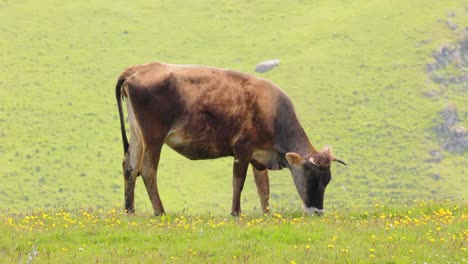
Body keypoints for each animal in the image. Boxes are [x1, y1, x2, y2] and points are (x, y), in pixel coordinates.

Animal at [115, 62, 346, 217]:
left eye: (327, 180)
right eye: (312, 177)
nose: (318, 211)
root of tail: (138, 69)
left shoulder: (258, 157)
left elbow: (263, 188)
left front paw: (267, 214)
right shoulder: (242, 150)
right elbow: (238, 182)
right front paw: (236, 213)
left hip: (136, 135)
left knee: (130, 167)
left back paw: (130, 211)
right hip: (153, 138)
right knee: (147, 170)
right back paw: (160, 212)